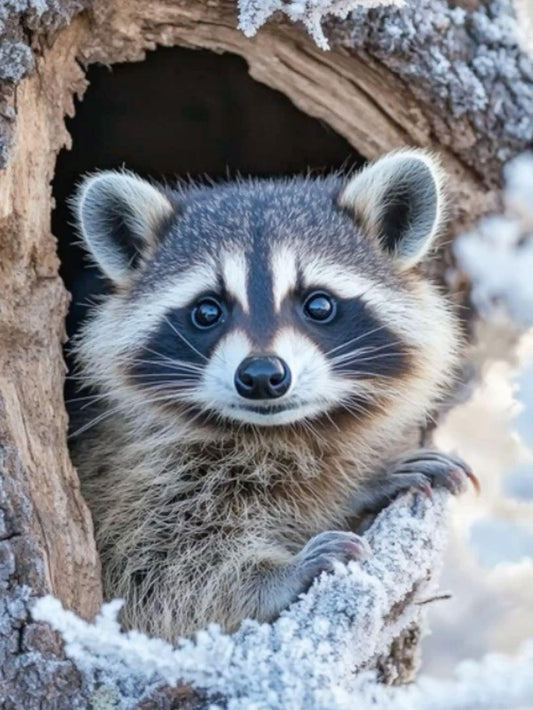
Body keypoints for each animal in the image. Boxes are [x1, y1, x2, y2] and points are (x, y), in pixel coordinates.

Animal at [69, 149, 475, 641]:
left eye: (319, 304)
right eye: (207, 311)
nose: (262, 376)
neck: (277, 432)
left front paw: (355, 486)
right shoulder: (124, 466)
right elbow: (152, 572)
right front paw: (274, 576)